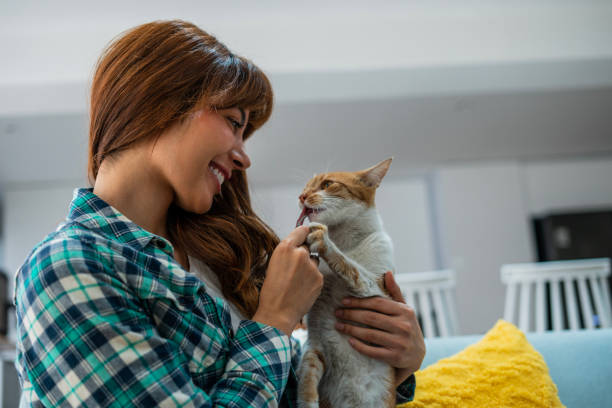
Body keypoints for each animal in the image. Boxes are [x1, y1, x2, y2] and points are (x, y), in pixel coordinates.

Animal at [296, 158, 396, 408]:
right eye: (305, 187)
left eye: (327, 184)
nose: (301, 196)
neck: (346, 242)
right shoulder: (315, 347)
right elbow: (306, 385)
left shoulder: (381, 292)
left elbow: (354, 269)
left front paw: (324, 242)